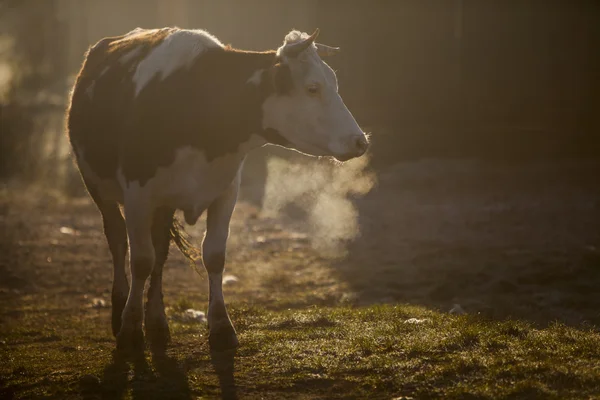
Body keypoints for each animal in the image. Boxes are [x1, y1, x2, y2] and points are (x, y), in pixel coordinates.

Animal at [65, 26, 366, 354]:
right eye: (312, 88)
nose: (360, 141)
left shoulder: (226, 192)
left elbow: (213, 255)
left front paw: (221, 326)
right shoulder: (138, 194)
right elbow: (141, 259)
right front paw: (130, 329)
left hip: (163, 204)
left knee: (160, 250)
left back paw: (157, 321)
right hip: (97, 186)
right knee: (119, 241)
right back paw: (119, 311)